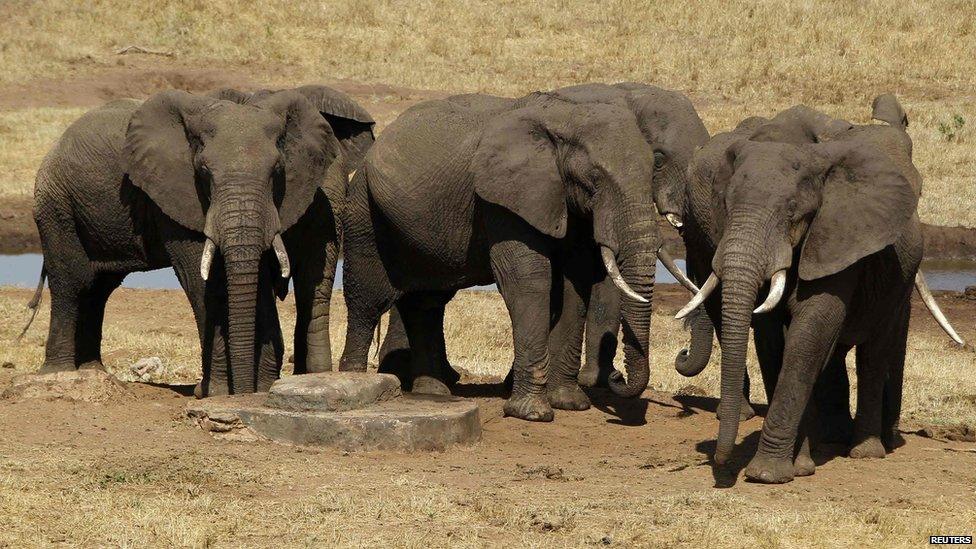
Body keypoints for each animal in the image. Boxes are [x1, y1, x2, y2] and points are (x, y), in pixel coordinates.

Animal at [23, 86, 374, 396]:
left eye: (277, 171)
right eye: (204, 172)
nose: (244, 391)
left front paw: (250, 388)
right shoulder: (173, 189)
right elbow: (200, 277)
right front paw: (215, 391)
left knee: (99, 287)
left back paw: (92, 370)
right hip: (55, 203)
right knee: (72, 281)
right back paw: (58, 373)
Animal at [339, 88, 674, 421]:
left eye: (655, 169)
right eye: (594, 178)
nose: (617, 378)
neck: (566, 118)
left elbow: (574, 285)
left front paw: (569, 403)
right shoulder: (504, 199)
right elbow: (528, 281)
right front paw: (532, 414)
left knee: (427, 302)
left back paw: (432, 393)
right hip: (363, 208)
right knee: (368, 300)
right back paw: (357, 380)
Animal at [673, 94, 964, 483]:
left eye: (793, 212)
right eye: (726, 206)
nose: (720, 462)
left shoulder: (839, 236)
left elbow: (813, 325)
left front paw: (767, 474)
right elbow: (774, 337)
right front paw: (796, 467)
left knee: (873, 353)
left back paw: (865, 451)